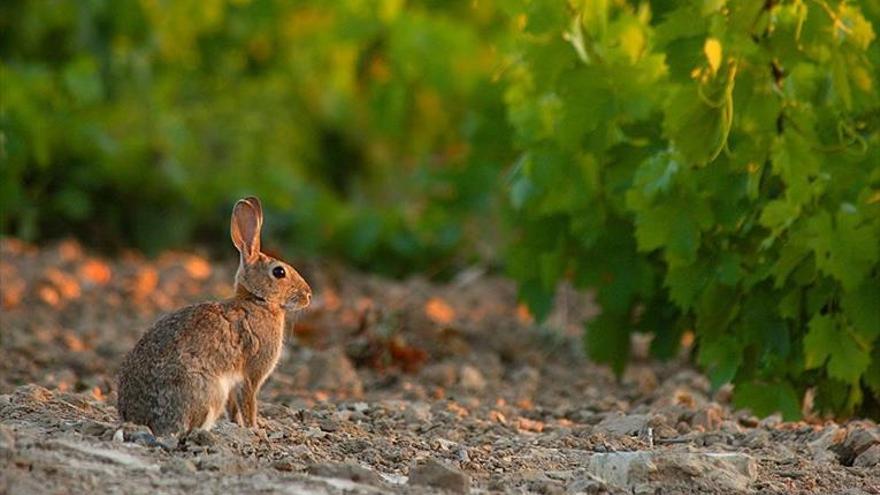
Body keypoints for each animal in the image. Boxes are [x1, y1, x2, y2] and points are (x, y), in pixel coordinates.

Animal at [115, 196, 312, 436]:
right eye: (279, 272)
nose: (308, 295)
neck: (257, 300)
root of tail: (139, 420)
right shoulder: (252, 373)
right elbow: (249, 402)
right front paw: (255, 429)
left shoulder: (235, 382)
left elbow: (234, 407)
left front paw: (240, 425)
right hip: (209, 391)